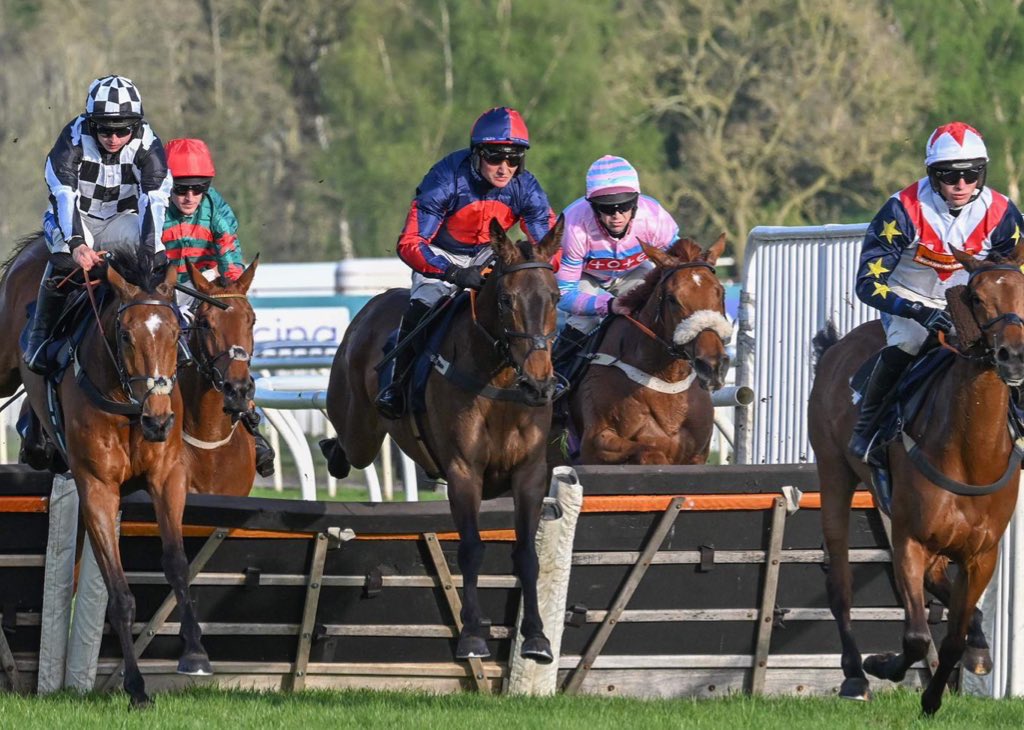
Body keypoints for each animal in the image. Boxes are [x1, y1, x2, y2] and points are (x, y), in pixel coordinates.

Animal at [16, 251, 211, 704]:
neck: (129, 406)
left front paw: (194, 653)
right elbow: (118, 593)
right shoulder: (98, 490)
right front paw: (136, 686)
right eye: (124, 335)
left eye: (176, 331)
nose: (159, 421)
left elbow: (177, 564)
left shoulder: (167, 476)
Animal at [319, 219, 561, 663]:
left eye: (554, 297)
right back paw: (331, 453)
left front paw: (536, 636)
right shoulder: (464, 472)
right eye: (506, 299)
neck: (499, 382)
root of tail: (372, 304)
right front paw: (472, 634)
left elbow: (527, 552)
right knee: (347, 448)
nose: (538, 385)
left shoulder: (530, 473)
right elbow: (470, 548)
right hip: (360, 427)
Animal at [557, 236, 733, 464]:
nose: (712, 366)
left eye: (721, 292)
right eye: (672, 299)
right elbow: (650, 451)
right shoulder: (593, 444)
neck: (667, 379)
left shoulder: (697, 455)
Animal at [806, 243, 1024, 712]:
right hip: (834, 474)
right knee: (840, 584)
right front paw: (882, 665)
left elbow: (953, 638)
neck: (971, 452)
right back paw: (854, 675)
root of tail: (836, 345)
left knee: (939, 583)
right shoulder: (910, 539)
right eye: (977, 297)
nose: (1013, 355)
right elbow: (916, 637)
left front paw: (937, 693)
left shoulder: (983, 553)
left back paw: (978, 643)